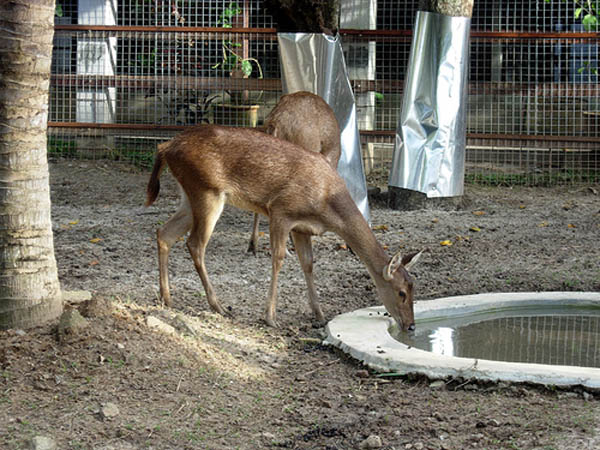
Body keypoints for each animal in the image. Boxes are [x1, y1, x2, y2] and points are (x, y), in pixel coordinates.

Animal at [145, 123, 422, 330]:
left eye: (413, 287)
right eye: (401, 292)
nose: (411, 326)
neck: (326, 204)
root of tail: (166, 146)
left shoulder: (302, 228)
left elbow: (308, 263)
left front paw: (320, 314)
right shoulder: (280, 211)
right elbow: (278, 259)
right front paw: (270, 317)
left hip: (189, 196)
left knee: (164, 233)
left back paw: (166, 298)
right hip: (207, 191)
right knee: (195, 244)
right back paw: (218, 306)